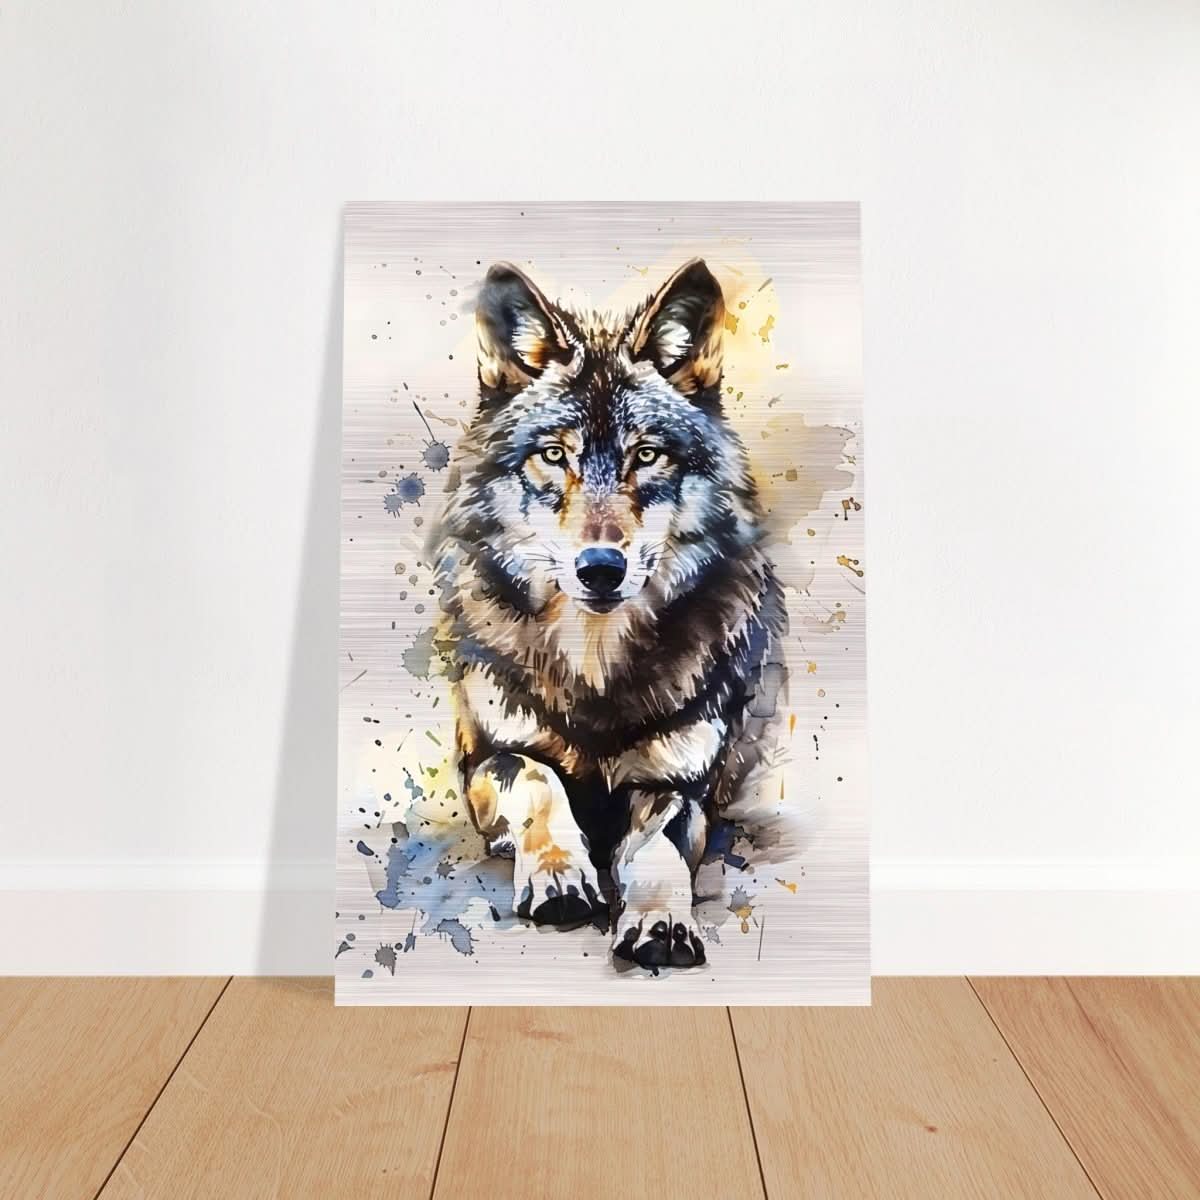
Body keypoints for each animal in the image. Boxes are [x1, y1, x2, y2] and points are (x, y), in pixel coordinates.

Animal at [433, 258, 787, 970]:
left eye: (646, 455)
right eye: (554, 454)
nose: (601, 568)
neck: (593, 666)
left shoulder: (681, 784)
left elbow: (659, 852)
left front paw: (660, 922)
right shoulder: (487, 759)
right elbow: (538, 779)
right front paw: (559, 875)